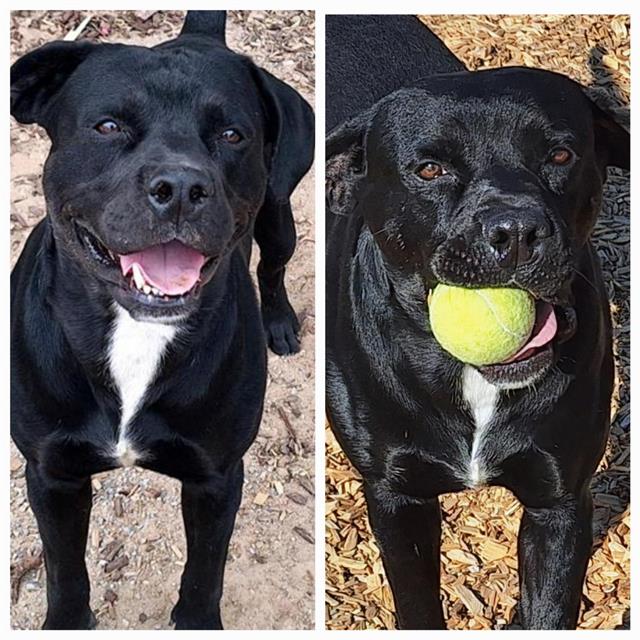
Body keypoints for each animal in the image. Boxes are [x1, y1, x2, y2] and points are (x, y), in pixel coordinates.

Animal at [10, 10, 316, 632]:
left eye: (232, 135)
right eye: (107, 126)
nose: (179, 188)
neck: (136, 333)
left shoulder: (215, 478)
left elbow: (205, 571)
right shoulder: (52, 475)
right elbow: (63, 570)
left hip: (278, 218)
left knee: (272, 268)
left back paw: (279, 321)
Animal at [328, 13, 628, 632]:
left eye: (560, 156)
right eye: (430, 169)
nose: (515, 232)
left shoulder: (561, 502)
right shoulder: (396, 499)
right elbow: (418, 605)